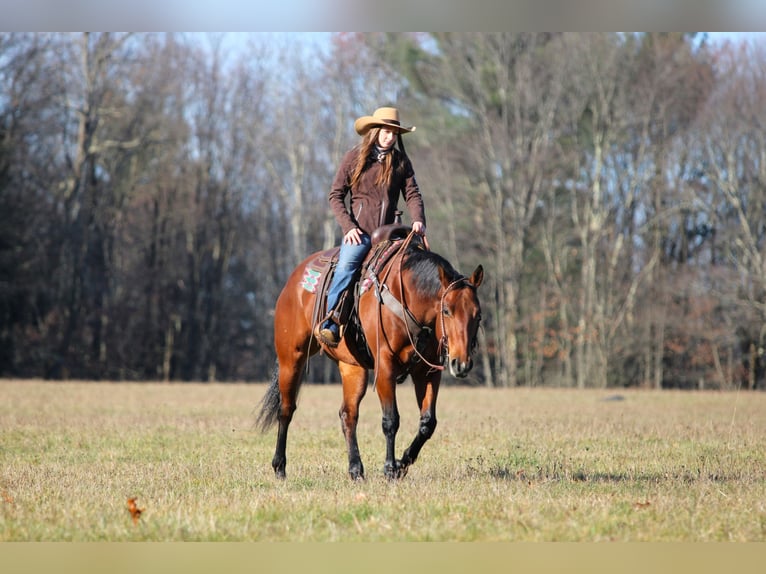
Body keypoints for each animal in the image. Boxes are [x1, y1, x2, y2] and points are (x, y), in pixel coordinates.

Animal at [256, 230, 483, 480]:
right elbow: (391, 420)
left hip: (352, 368)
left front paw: (402, 463)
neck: (408, 298)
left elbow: (427, 423)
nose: (461, 364)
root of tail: (294, 280)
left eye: (478, 315)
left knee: (348, 414)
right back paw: (280, 467)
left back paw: (356, 469)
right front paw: (390, 468)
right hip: (291, 358)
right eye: (446, 310)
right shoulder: (385, 367)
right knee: (286, 410)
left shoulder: (428, 371)